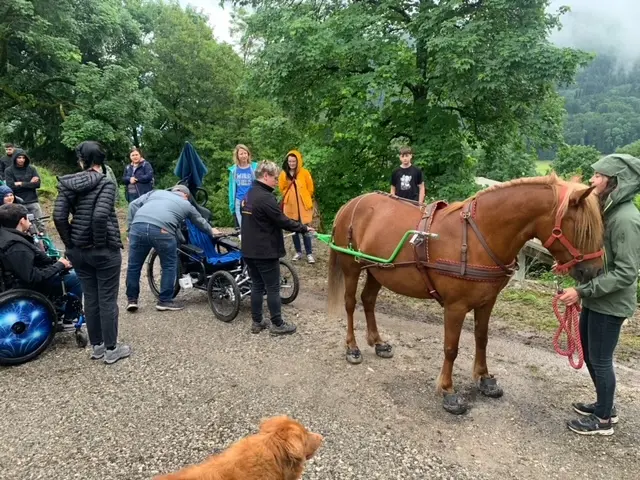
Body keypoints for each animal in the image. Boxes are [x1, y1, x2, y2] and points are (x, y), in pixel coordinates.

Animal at [328, 174, 604, 414]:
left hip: (377, 270)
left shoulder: (487, 302)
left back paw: (378, 342)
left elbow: (482, 339)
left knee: (369, 300)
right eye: (583, 229)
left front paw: (484, 378)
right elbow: (451, 348)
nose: (595, 271)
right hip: (352, 267)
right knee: (351, 304)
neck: (479, 236)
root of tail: (351, 204)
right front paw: (448, 391)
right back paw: (352, 348)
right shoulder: (455, 306)